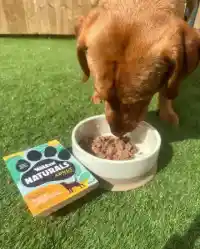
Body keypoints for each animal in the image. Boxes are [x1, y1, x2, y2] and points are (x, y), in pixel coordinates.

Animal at [74, 0, 200, 136]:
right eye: (106, 97)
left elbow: (170, 84)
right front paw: (97, 93)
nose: (116, 133)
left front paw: (167, 112)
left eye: (138, 102)